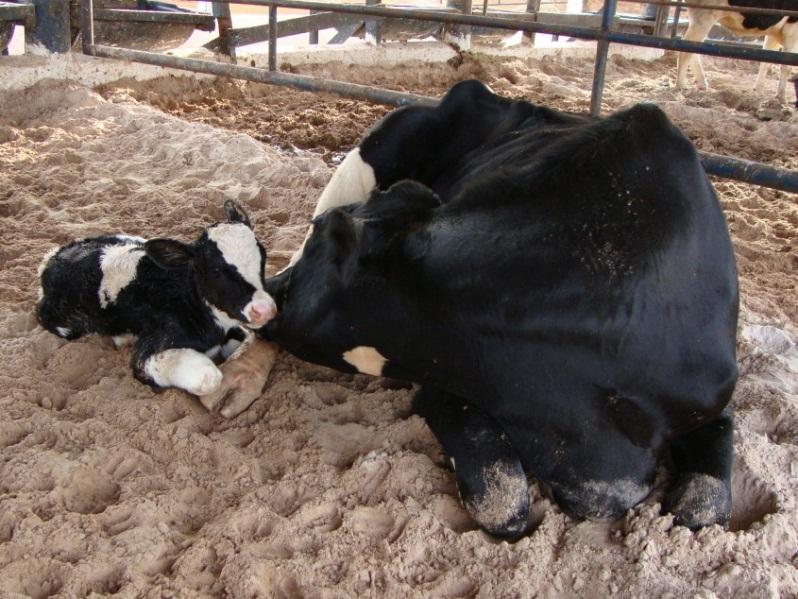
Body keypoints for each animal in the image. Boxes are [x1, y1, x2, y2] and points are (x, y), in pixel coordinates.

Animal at [37, 199, 278, 406]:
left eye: (262, 255)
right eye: (216, 270)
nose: (264, 310)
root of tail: (53, 258)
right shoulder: (148, 353)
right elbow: (209, 378)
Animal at [208, 81, 744, 540]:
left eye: (324, 239)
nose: (272, 294)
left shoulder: (711, 400)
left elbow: (703, 507)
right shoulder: (444, 381)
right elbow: (503, 502)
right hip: (373, 150)